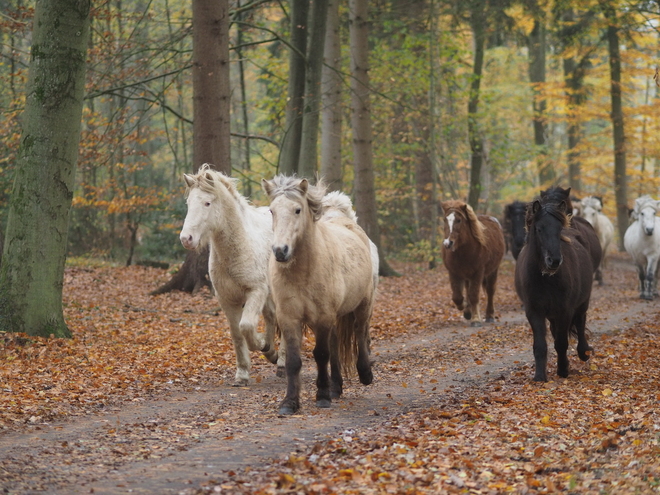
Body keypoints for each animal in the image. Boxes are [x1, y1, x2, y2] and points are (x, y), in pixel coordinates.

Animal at [512, 196, 596, 382]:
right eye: (539, 229)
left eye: (558, 229)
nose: (555, 260)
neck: (545, 278)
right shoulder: (534, 311)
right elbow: (540, 345)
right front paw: (539, 376)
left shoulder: (565, 310)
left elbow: (561, 342)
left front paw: (563, 369)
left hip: (582, 303)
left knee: (580, 323)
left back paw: (583, 352)